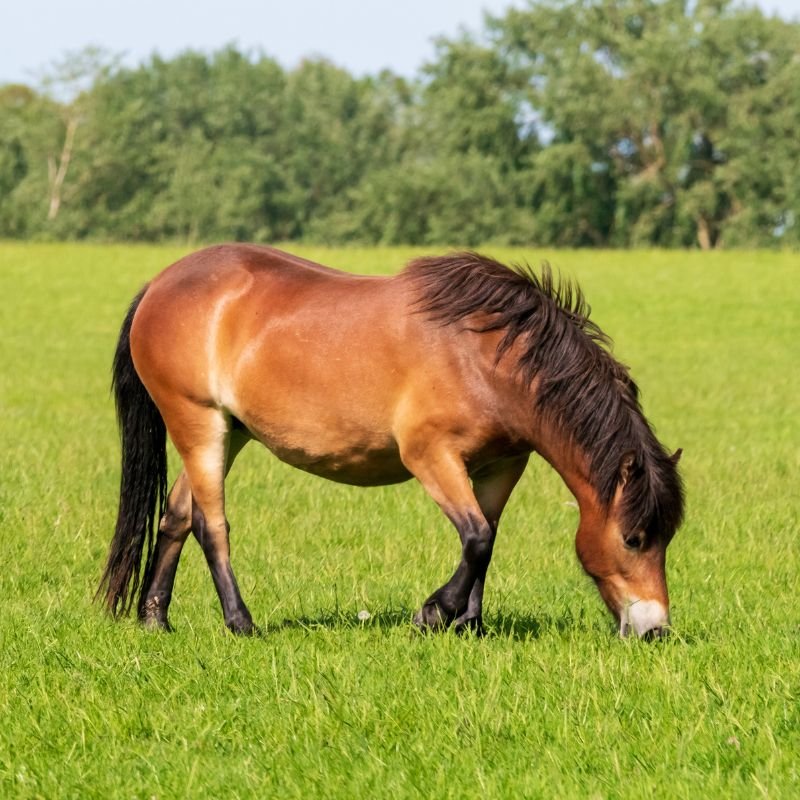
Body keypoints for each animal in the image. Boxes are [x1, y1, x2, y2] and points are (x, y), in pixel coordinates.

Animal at [97, 245, 684, 638]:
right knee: (210, 525)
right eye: (634, 538)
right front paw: (433, 614)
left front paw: (469, 625)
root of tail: (159, 284)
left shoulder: (501, 465)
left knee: (176, 516)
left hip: (229, 431)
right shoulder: (431, 456)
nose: (655, 629)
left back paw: (155, 618)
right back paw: (241, 623)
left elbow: (488, 539)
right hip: (197, 422)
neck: (488, 356)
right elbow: (476, 537)